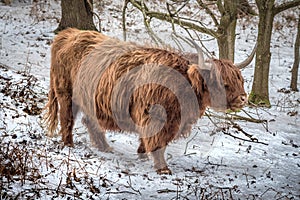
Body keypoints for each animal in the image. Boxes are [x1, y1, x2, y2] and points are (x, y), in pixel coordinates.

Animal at [42, 27, 253, 174]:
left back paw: (106, 148)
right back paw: (69, 144)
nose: (243, 98)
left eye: (240, 80)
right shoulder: (156, 117)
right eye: (223, 83)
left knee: (90, 121)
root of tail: (69, 33)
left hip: (91, 100)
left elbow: (148, 140)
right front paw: (163, 168)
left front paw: (142, 155)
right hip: (66, 92)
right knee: (67, 119)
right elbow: (157, 142)